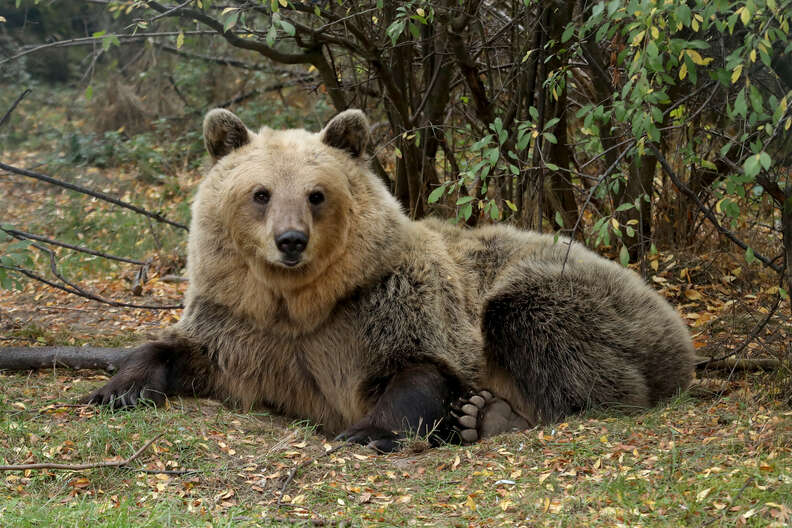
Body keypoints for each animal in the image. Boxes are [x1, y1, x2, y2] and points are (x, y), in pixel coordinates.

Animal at [83, 107, 696, 450]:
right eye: (260, 193)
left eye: (316, 194)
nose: (290, 240)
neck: (299, 303)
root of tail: (673, 315)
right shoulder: (245, 328)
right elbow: (186, 350)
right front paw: (115, 388)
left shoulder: (383, 303)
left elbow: (421, 367)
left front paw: (367, 429)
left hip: (585, 297)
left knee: (538, 323)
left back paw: (492, 416)